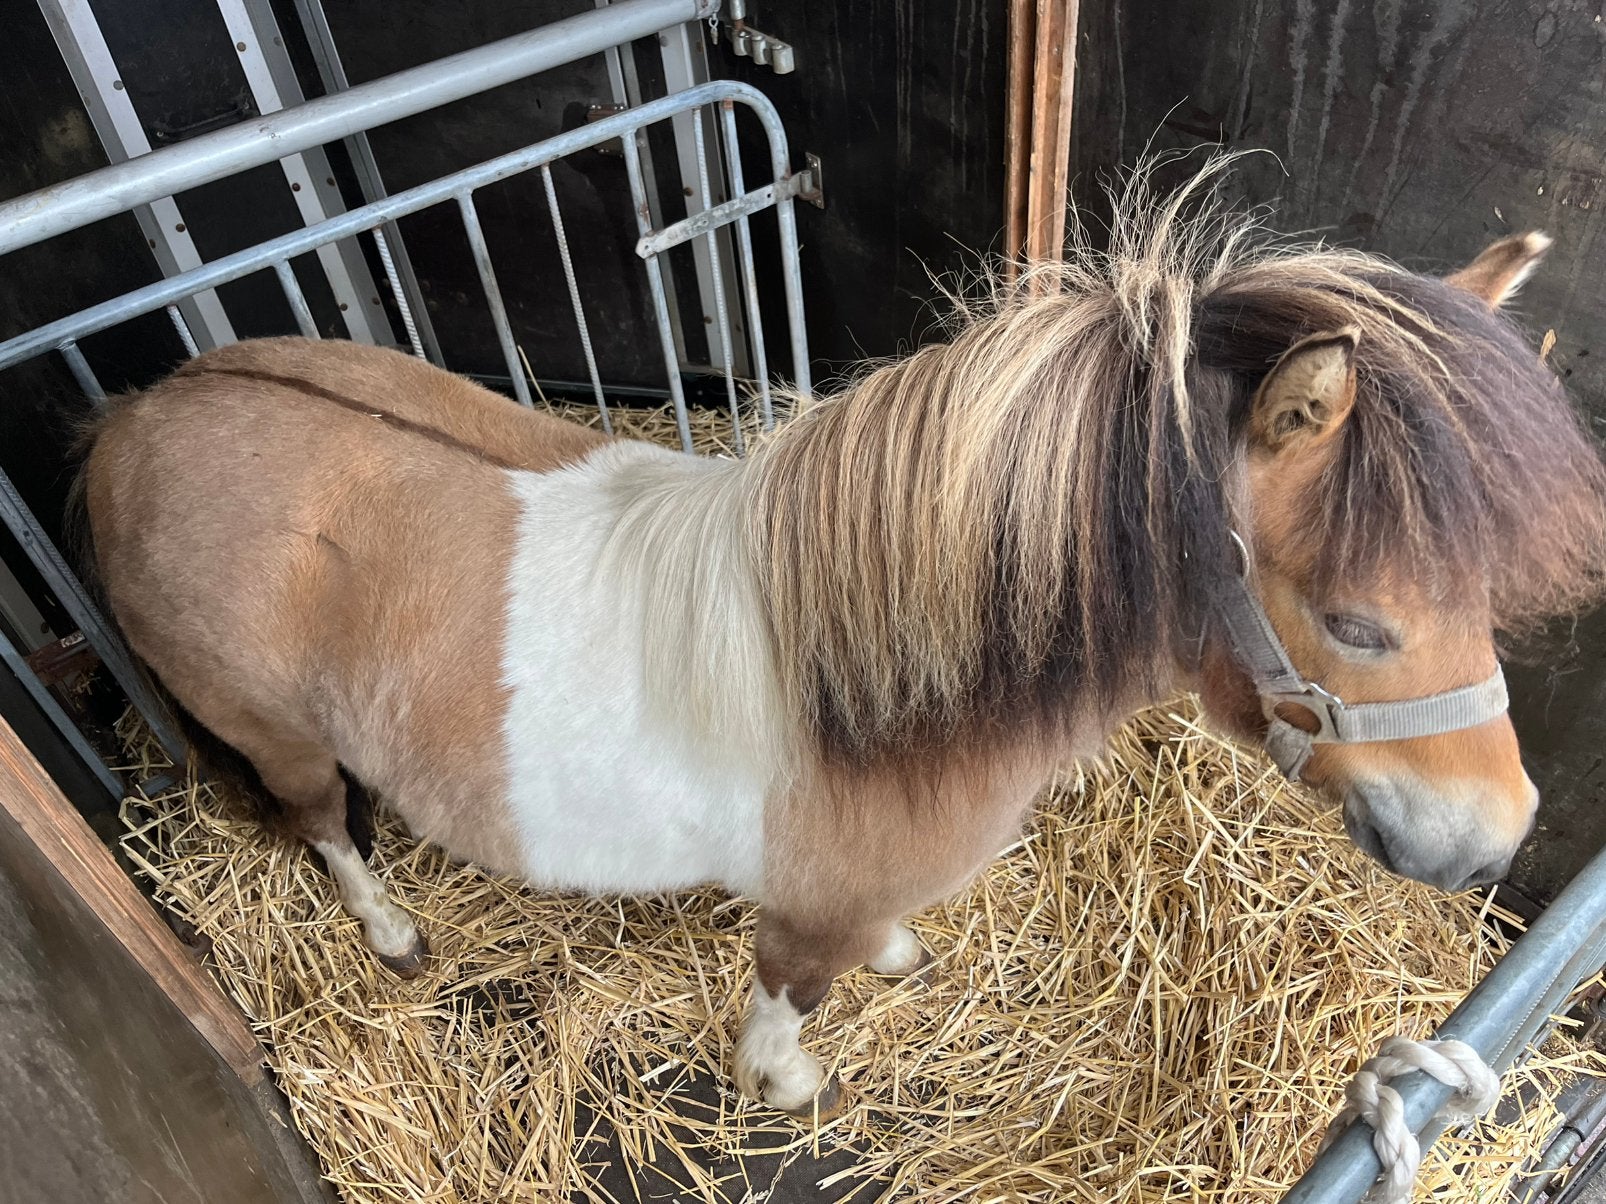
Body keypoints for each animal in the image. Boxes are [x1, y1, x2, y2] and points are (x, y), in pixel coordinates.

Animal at [80, 165, 1606, 1114]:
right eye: (1357, 621)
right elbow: (788, 996)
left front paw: (896, 961)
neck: (892, 690)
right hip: (274, 731)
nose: (1491, 838)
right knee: (322, 824)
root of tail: (139, 418)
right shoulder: (800, 913)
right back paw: (392, 932)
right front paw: (785, 1079)